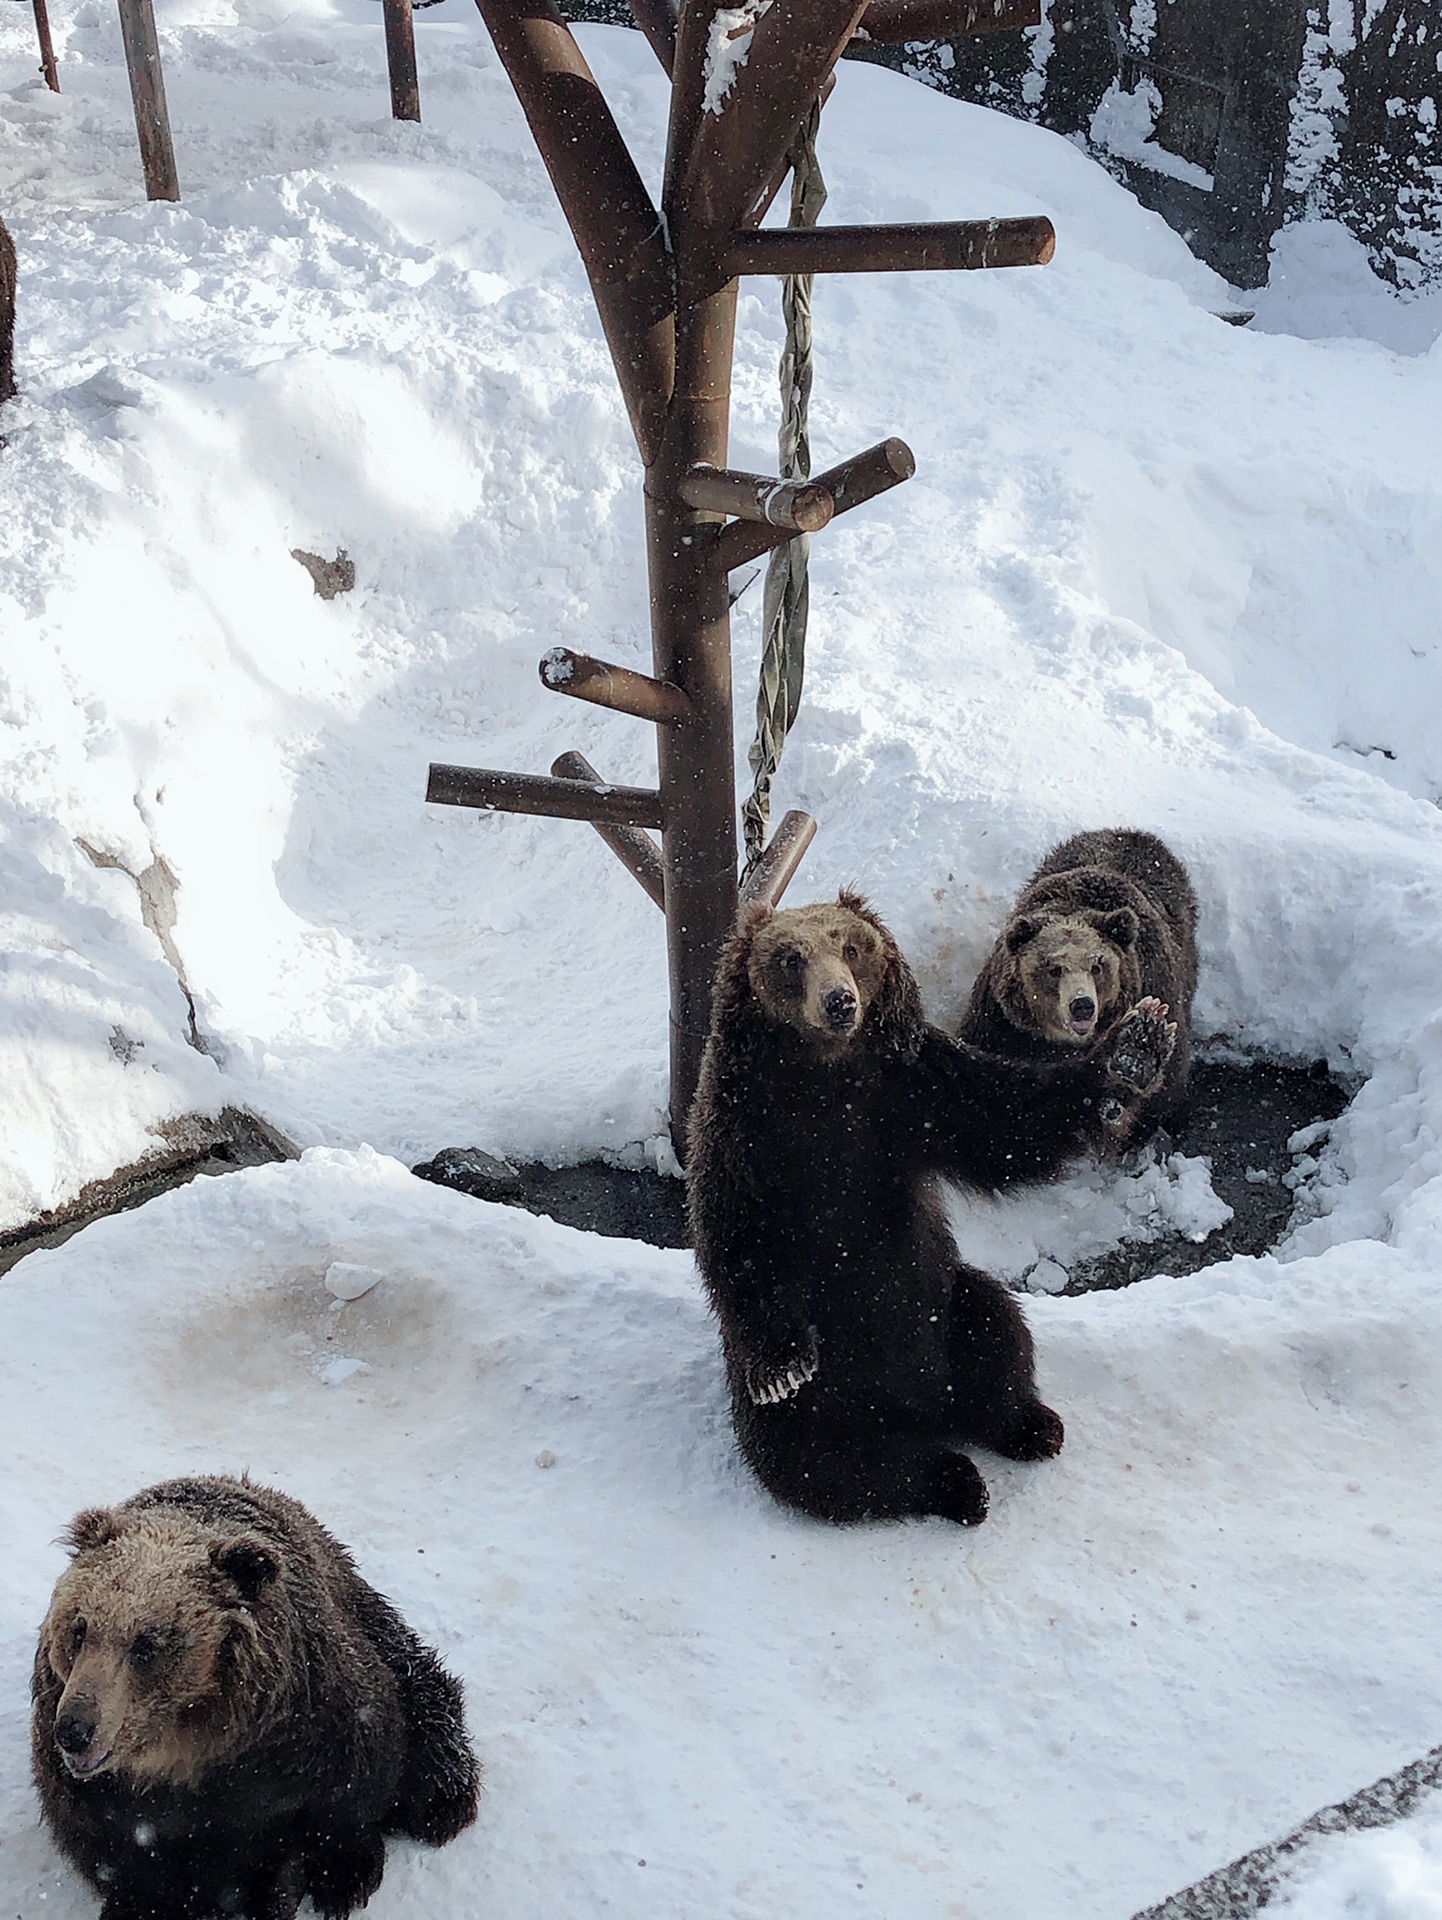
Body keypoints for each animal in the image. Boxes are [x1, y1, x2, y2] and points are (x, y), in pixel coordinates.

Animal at [30, 1474, 481, 1912]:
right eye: (79, 1629)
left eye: (147, 1644)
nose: (75, 1729)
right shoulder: (94, 1787)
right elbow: (118, 1848)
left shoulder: (305, 1725)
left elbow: (349, 1787)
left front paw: (335, 1878)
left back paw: (444, 1804)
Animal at [683, 887, 1175, 1528]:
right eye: (791, 958)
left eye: (852, 946)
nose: (840, 1001)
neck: (823, 1074)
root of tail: (915, 1409)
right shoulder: (743, 1125)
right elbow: (735, 1230)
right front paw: (782, 1366)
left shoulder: (914, 1086)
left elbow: (1006, 1120)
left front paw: (1135, 1044)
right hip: (822, 1391)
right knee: (821, 1462)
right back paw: (954, 1482)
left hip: (940, 1306)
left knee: (994, 1327)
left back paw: (1030, 1425)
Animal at [960, 825, 1198, 1136]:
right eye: (1053, 968)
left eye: (1097, 965)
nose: (1082, 1005)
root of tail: (1133, 832)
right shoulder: (1003, 1024)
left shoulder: (1156, 981)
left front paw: (1140, 1048)